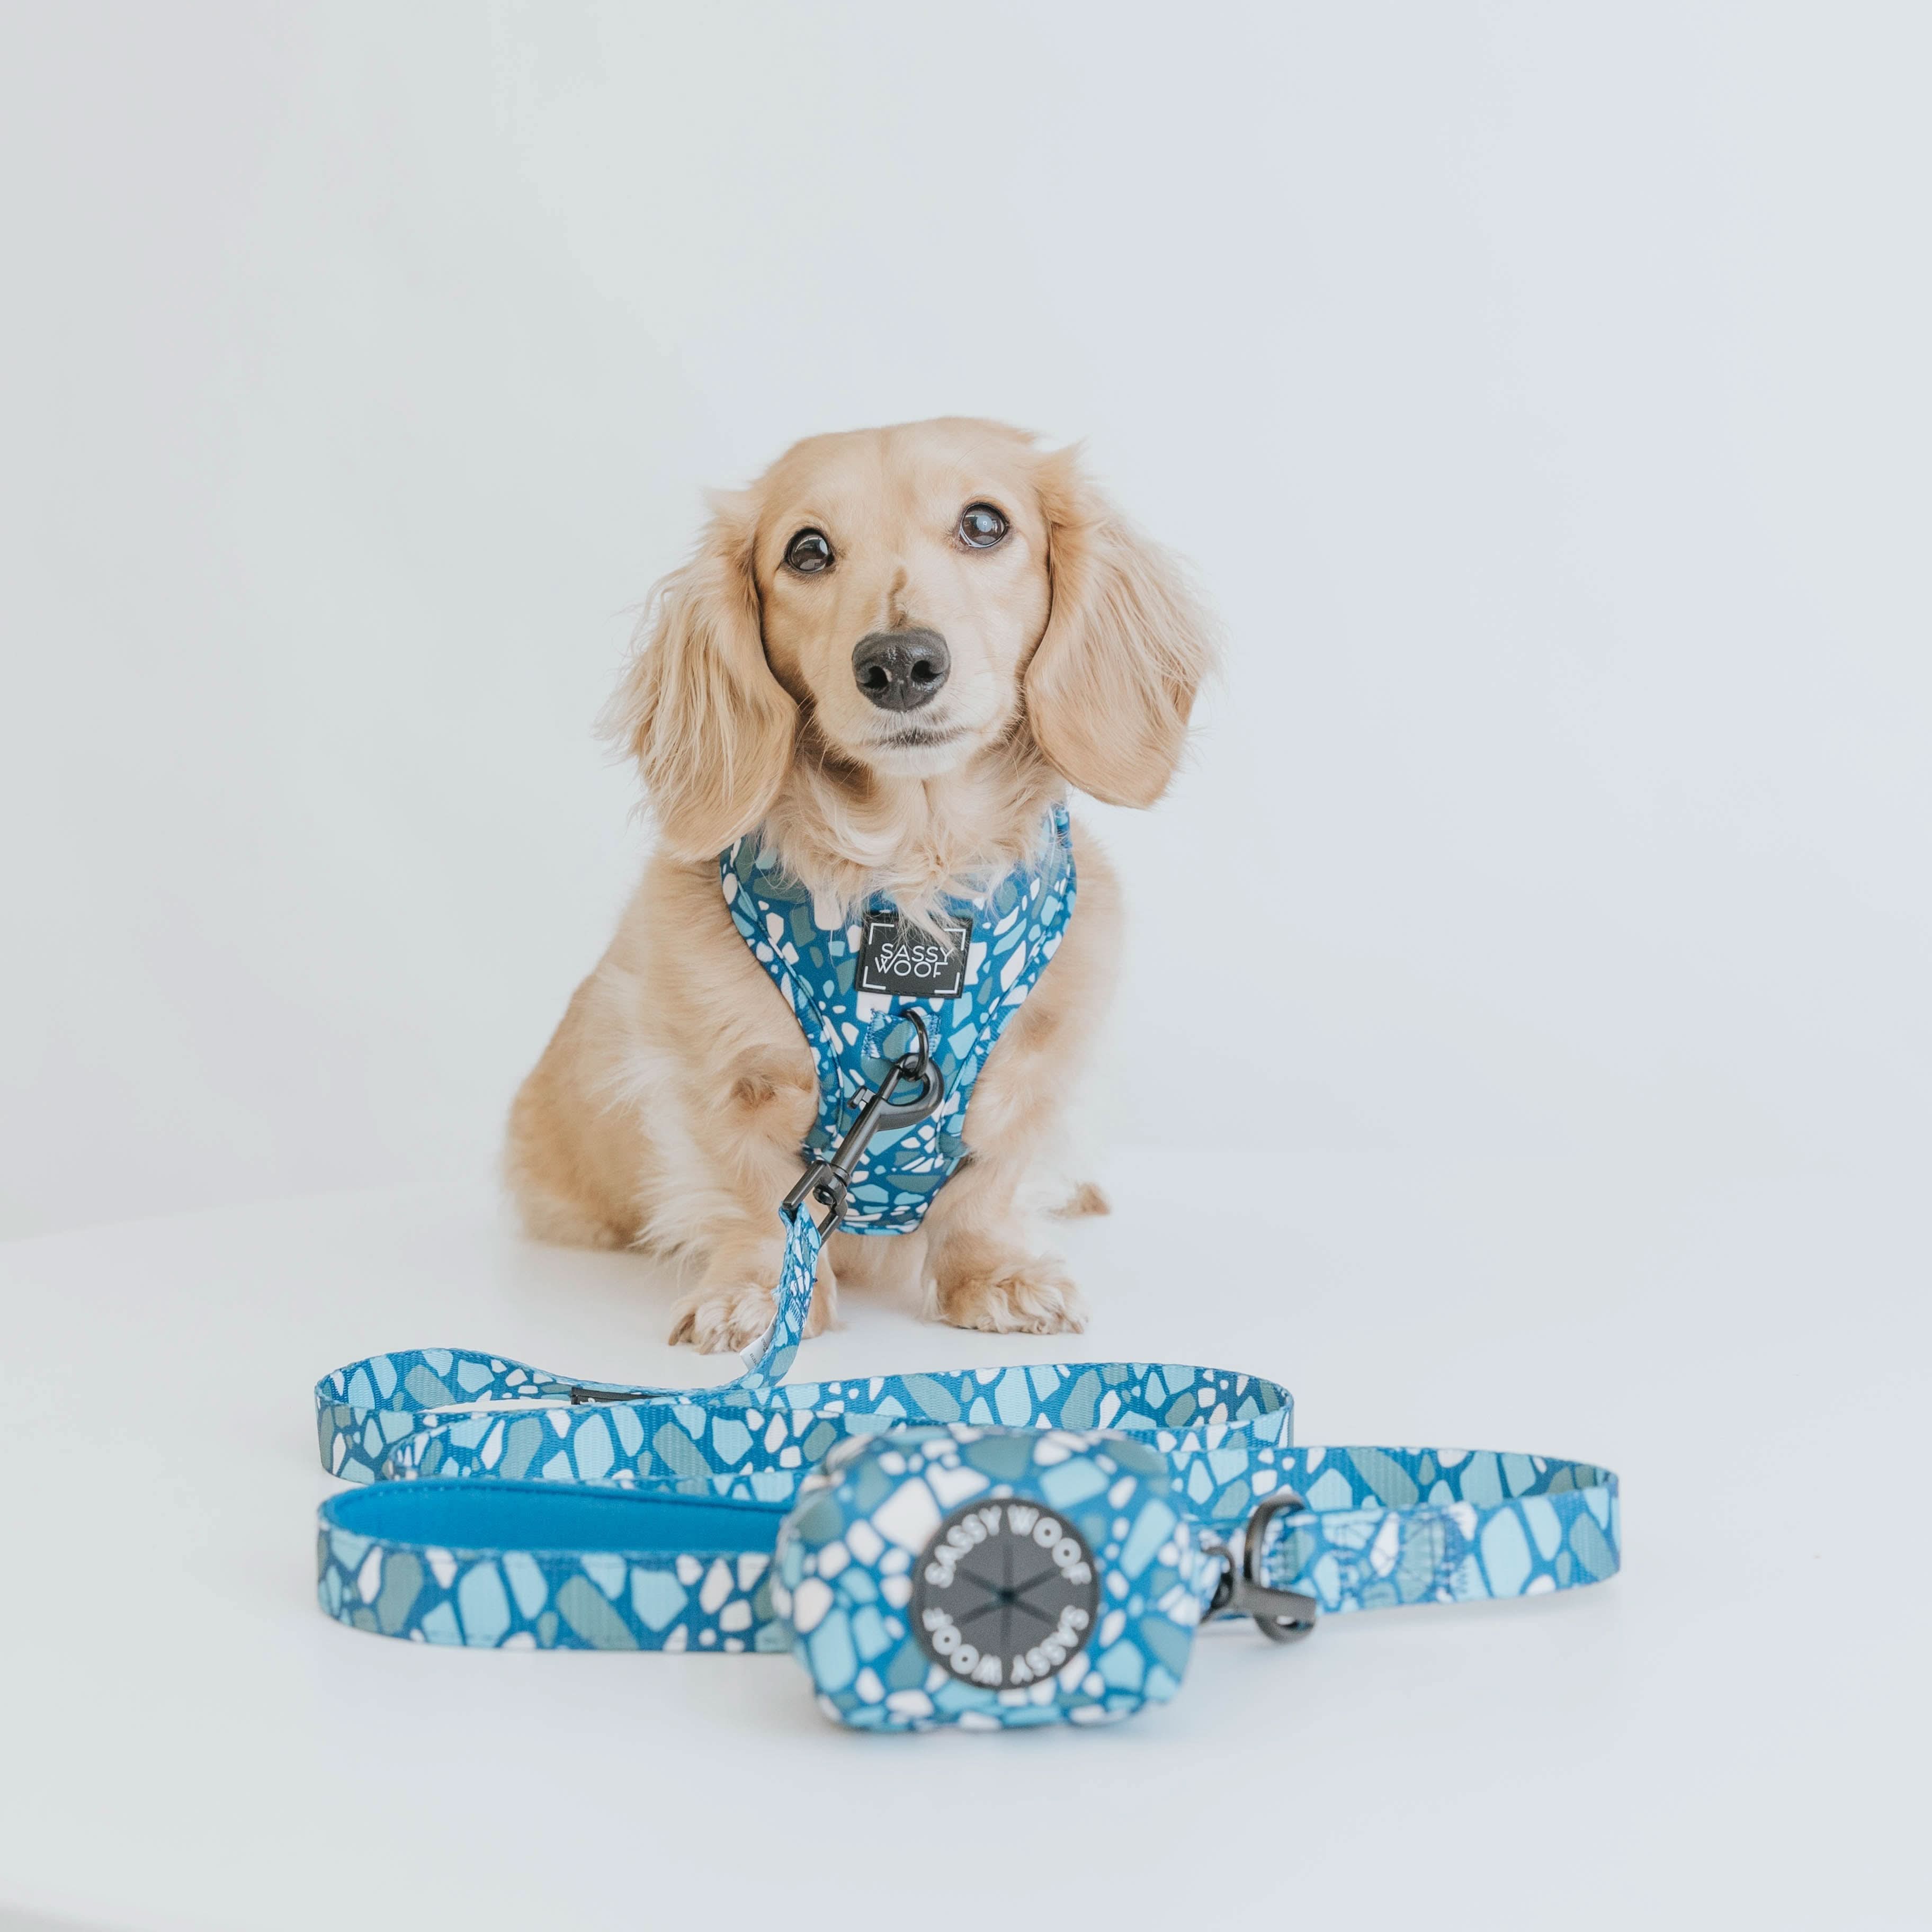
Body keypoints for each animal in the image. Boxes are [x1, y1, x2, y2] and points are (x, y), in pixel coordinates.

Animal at [507, 418, 1215, 1352]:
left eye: (984, 524)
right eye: (807, 551)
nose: (900, 663)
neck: (911, 872)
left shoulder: (1037, 1062)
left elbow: (992, 1180)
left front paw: (995, 1276)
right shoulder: (722, 1076)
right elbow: (753, 1194)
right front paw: (763, 1296)